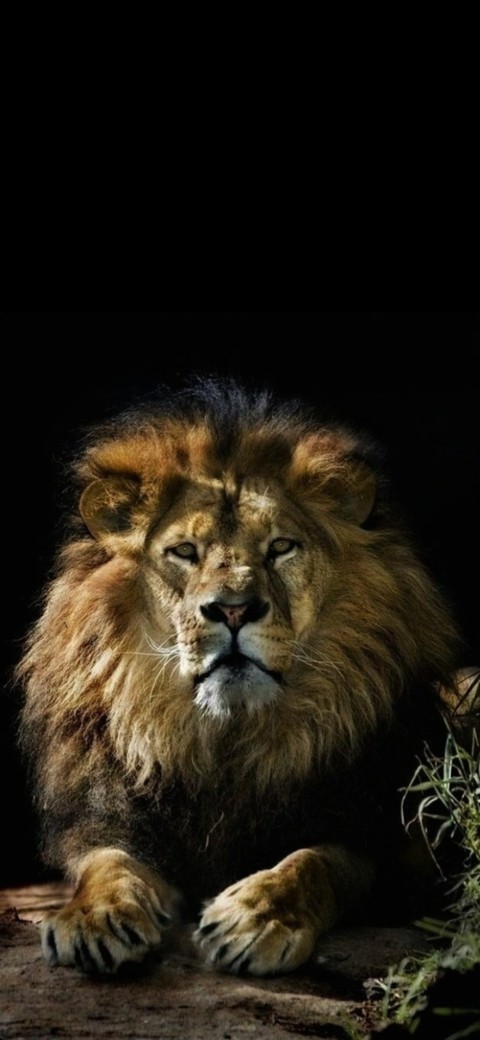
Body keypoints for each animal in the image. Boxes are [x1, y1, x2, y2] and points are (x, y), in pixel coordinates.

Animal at [16, 378, 469, 978]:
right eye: (185, 552)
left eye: (280, 547)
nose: (233, 610)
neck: (225, 741)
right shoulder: (110, 818)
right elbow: (109, 863)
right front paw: (97, 916)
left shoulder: (371, 837)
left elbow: (314, 863)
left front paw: (254, 918)